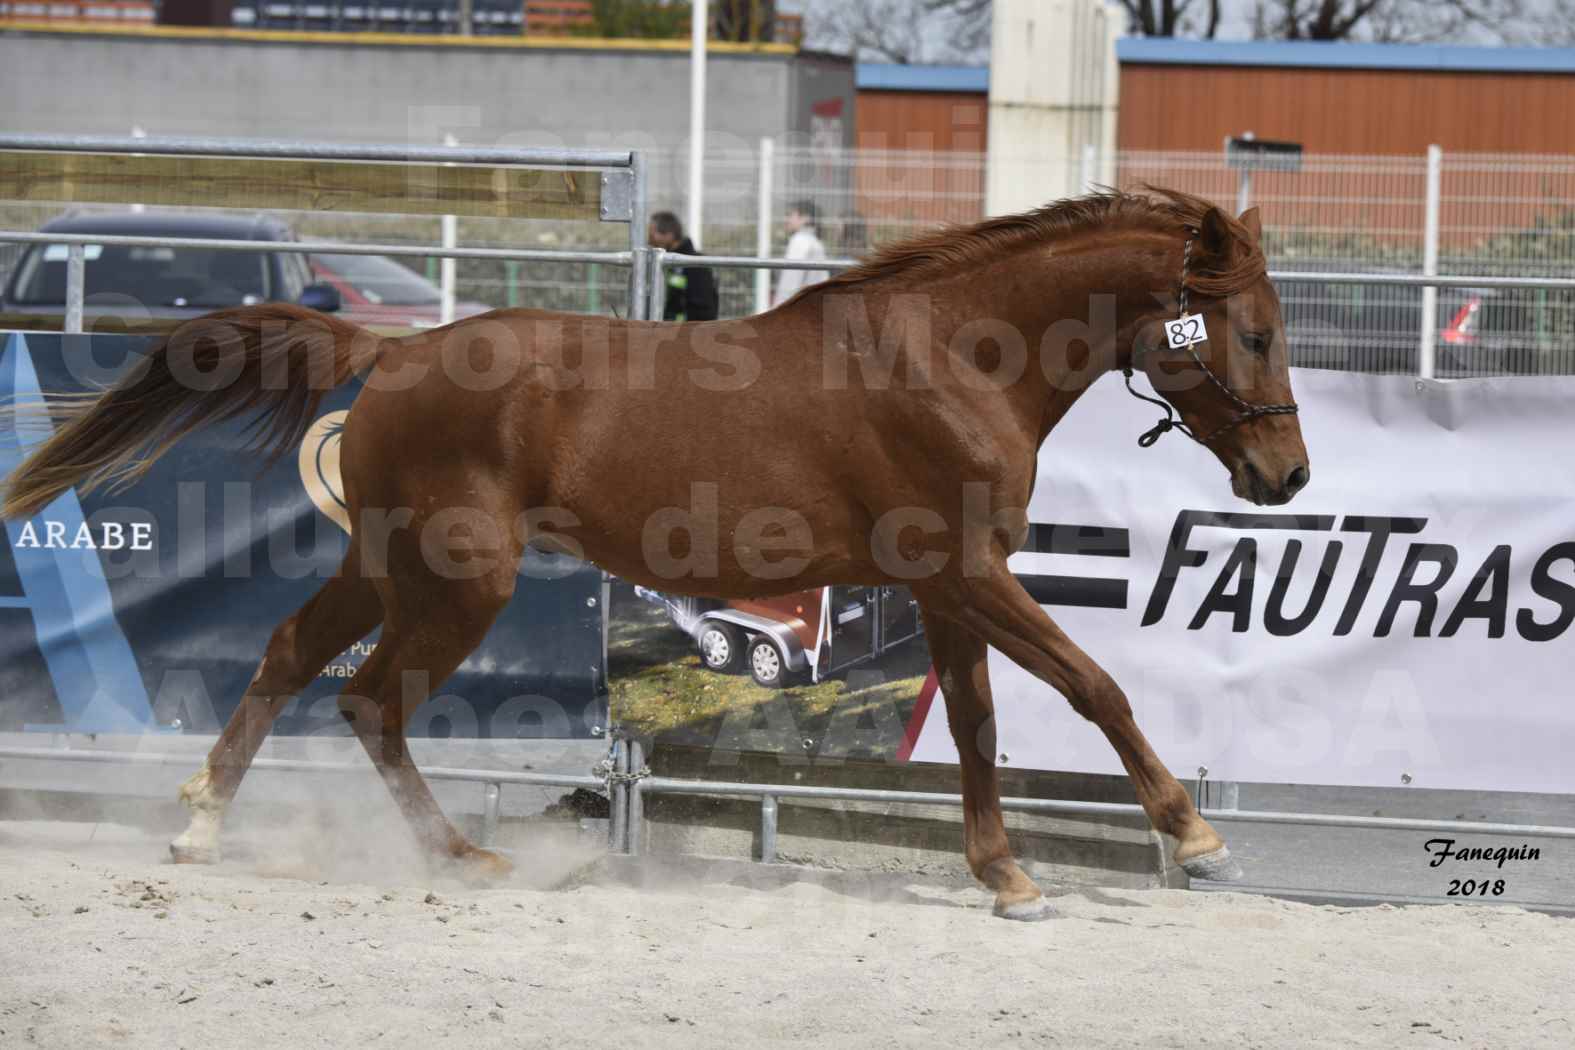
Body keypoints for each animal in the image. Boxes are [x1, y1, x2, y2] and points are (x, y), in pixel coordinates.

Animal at [0, 188, 1304, 919]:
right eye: (1252, 330)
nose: (1286, 477)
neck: (949, 359)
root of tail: (397, 352)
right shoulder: (969, 573)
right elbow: (1095, 686)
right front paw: (1196, 840)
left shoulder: (947, 587)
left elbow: (979, 728)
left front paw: (1007, 878)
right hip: (457, 581)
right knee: (371, 700)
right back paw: (456, 856)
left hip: (385, 564)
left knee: (292, 659)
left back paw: (209, 825)